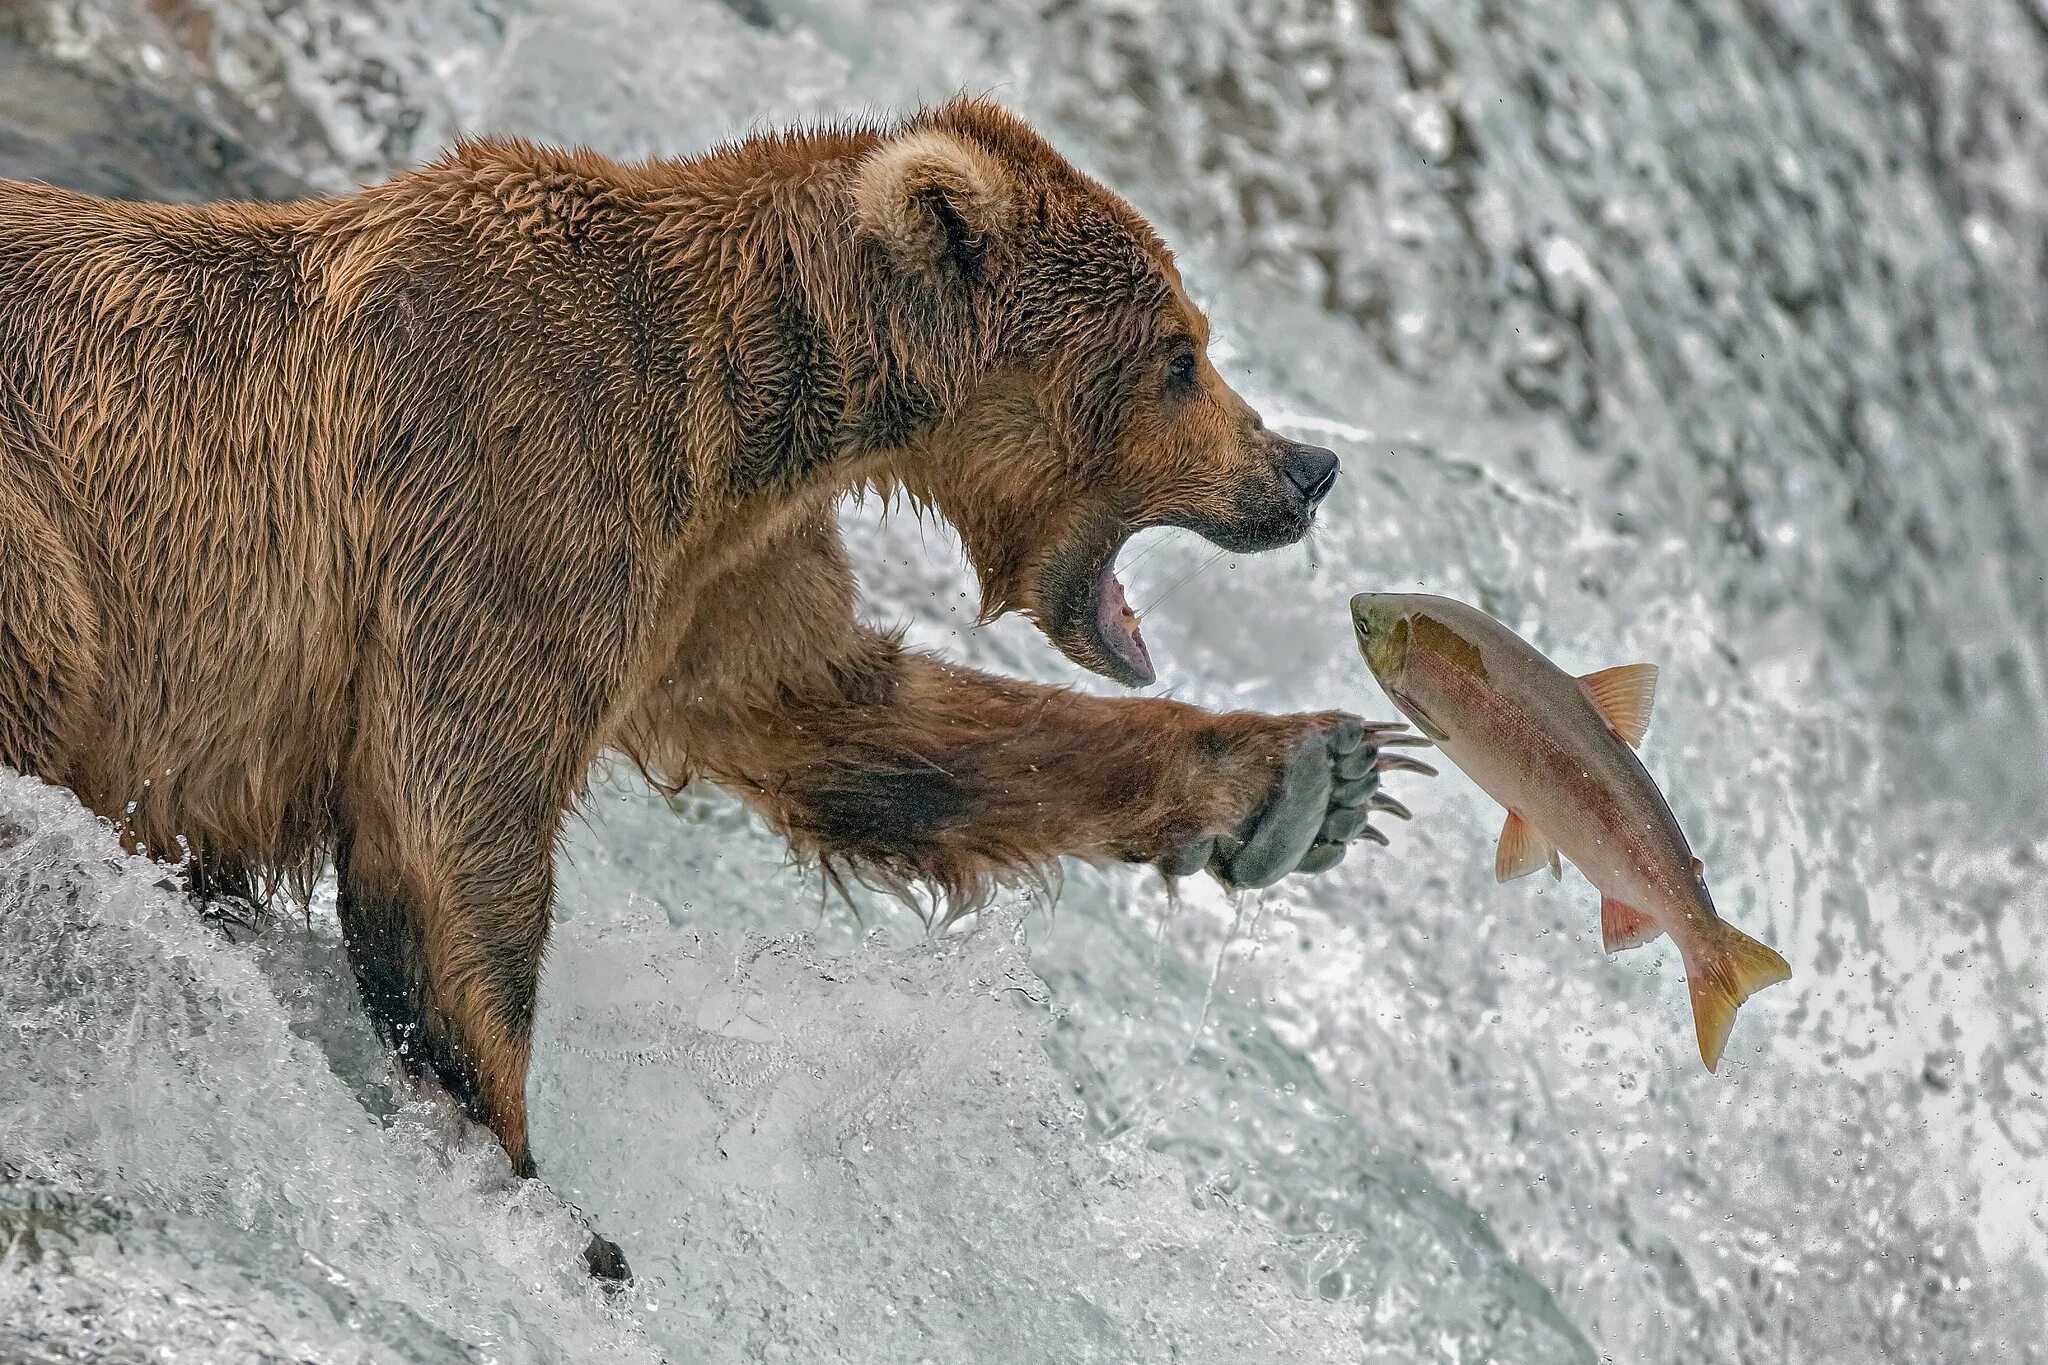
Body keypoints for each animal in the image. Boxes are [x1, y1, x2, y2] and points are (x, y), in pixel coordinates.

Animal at [0, 98, 1425, 1285]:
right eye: (1180, 356)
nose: (1305, 469)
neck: (747, 410)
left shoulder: (720, 574)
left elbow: (858, 725)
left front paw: (1311, 776)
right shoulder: (508, 487)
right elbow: (452, 827)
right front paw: (537, 1195)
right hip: (45, 549)